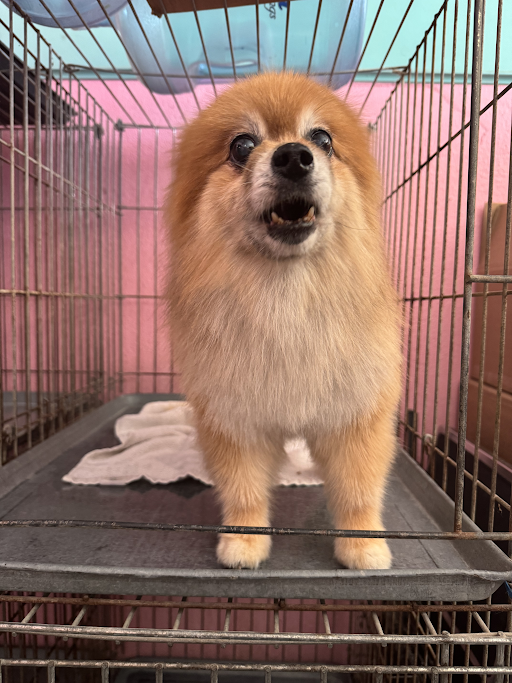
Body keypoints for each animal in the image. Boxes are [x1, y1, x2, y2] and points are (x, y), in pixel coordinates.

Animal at [165, 72, 401, 571]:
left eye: (323, 139)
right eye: (241, 145)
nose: (294, 155)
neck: (285, 299)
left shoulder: (355, 416)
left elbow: (358, 490)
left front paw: (363, 545)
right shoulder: (237, 420)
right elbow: (244, 490)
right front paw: (244, 541)